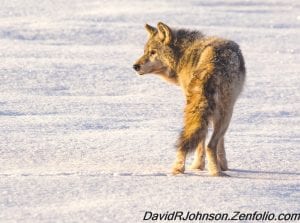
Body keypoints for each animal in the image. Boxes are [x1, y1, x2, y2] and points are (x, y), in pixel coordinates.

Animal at [132, 22, 245, 176]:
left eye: (153, 52)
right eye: (145, 51)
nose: (135, 66)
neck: (183, 55)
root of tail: (212, 61)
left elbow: (202, 143)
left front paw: (199, 167)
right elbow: (215, 142)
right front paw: (219, 165)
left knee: (205, 144)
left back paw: (186, 170)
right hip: (223, 111)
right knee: (209, 143)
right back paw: (215, 172)